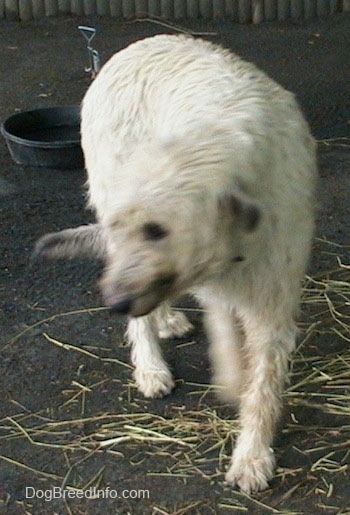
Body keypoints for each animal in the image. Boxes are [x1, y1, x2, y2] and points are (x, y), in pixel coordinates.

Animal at [35, 34, 318, 494]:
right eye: (123, 227)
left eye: (156, 230)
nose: (113, 303)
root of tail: (142, 41)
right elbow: (223, 328)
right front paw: (230, 377)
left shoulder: (273, 293)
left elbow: (263, 379)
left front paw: (252, 455)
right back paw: (151, 364)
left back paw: (164, 318)